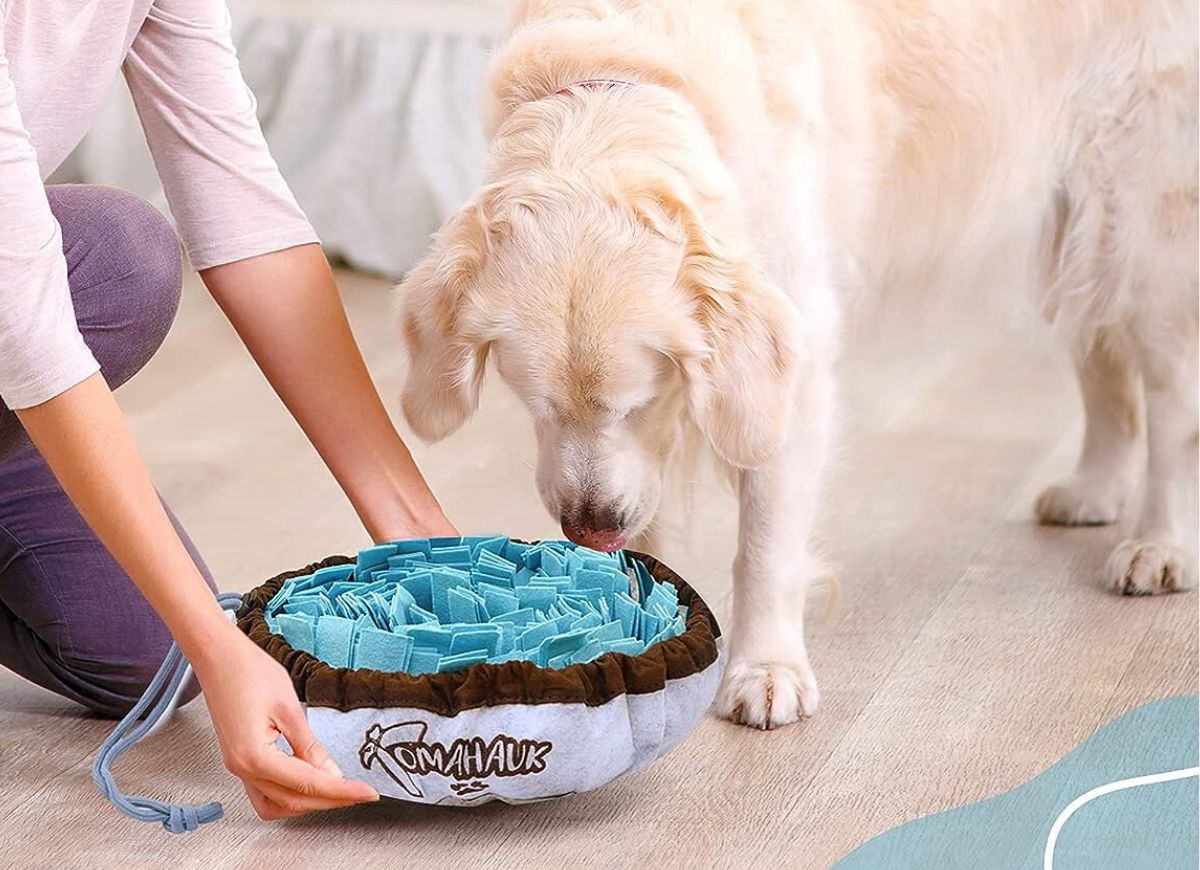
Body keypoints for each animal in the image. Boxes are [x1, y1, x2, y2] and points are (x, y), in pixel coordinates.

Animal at [400, 1, 1200, 724]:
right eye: (537, 409)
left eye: (639, 401)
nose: (589, 527)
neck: (622, 82)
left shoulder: (790, 373)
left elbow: (765, 548)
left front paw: (767, 672)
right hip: (1073, 233)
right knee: (1107, 371)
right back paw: (1094, 490)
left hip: (1145, 238)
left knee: (1171, 403)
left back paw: (1160, 546)